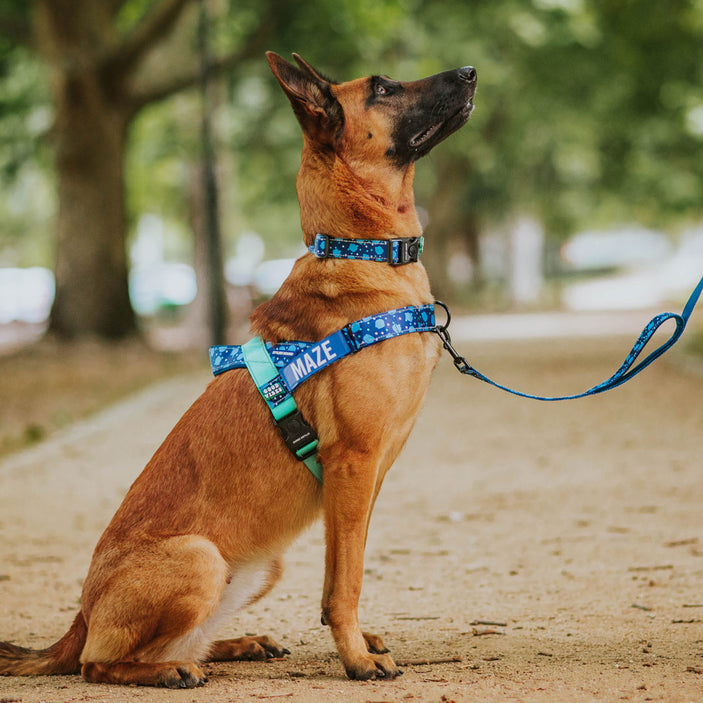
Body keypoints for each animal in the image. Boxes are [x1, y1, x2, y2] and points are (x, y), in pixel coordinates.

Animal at [0, 53, 478, 688]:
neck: (358, 251)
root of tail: (79, 619)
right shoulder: (354, 465)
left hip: (256, 567)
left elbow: (339, 572)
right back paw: (167, 672)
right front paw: (355, 657)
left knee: (182, 643)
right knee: (97, 664)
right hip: (199, 557)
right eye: (383, 88)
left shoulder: (361, 482)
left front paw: (354, 639)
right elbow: (345, 584)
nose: (471, 72)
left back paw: (236, 645)